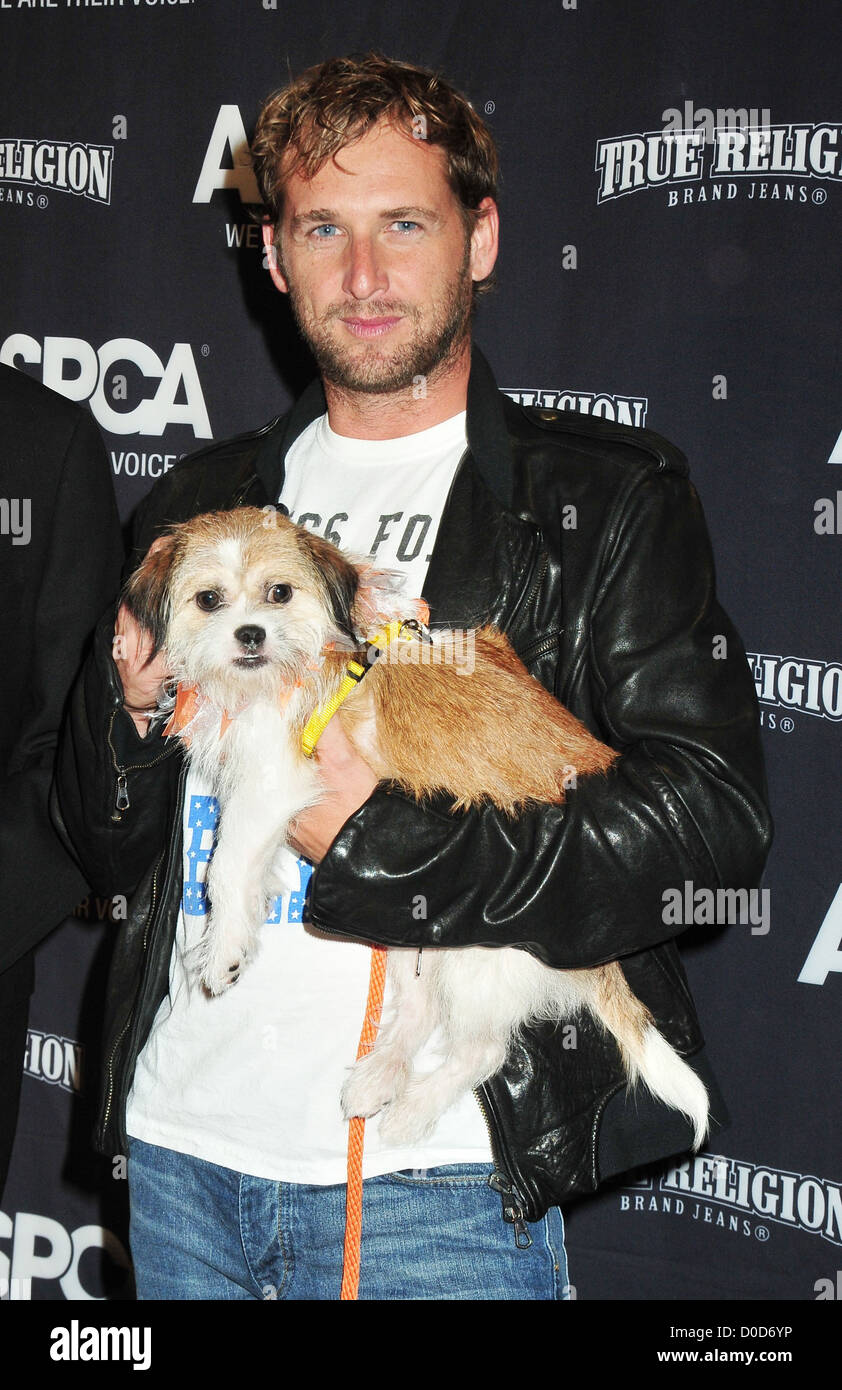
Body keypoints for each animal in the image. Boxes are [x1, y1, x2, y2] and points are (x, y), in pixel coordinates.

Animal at [127, 505, 711, 1145]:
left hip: (479, 951)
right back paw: (378, 1077)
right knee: (421, 1008)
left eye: (279, 593)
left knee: (482, 1048)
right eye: (208, 600)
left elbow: (227, 864)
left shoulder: (276, 778)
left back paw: (412, 1108)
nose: (250, 634)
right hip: (408, 928)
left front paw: (224, 949)